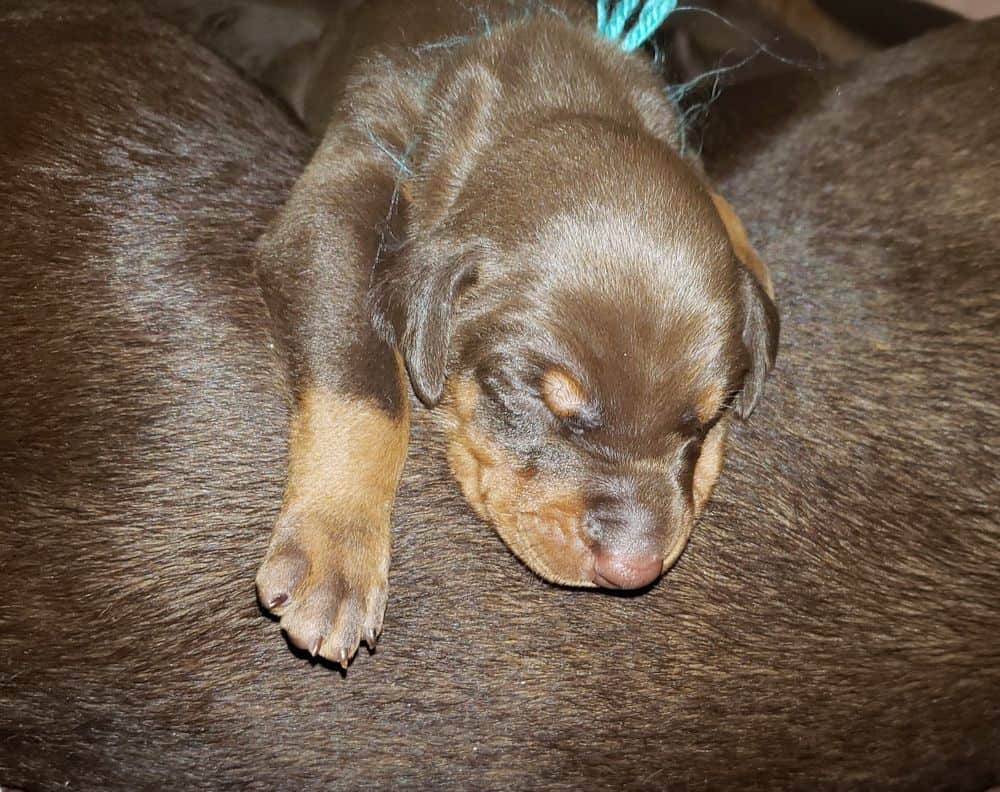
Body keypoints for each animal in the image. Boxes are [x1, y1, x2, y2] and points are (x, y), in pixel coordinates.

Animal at [252, 0, 780, 668]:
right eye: (530, 398)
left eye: (706, 421)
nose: (632, 568)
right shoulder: (344, 192)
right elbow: (362, 384)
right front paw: (336, 542)